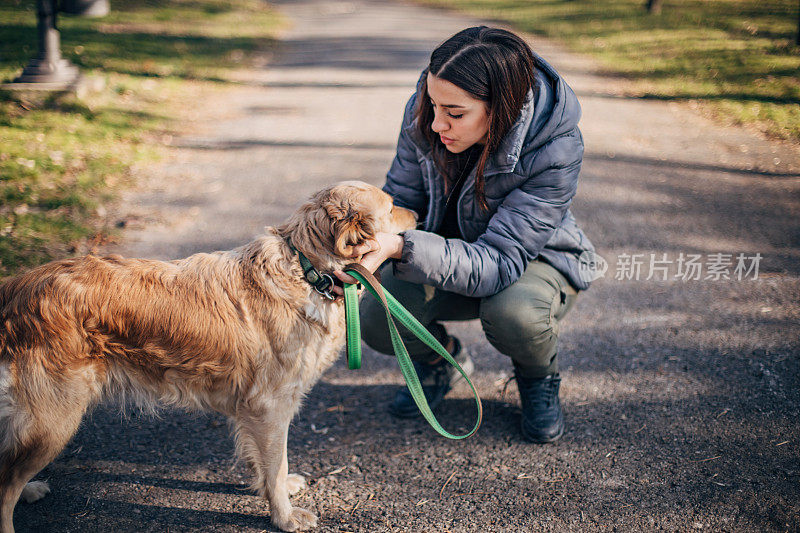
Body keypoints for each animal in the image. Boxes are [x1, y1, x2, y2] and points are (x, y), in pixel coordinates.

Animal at [0, 181, 416, 528]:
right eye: (392, 206)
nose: (417, 215)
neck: (305, 270)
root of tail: (18, 287)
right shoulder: (271, 406)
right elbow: (276, 464)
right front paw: (283, 516)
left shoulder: (255, 410)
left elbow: (266, 464)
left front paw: (270, 489)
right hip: (54, 417)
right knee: (6, 484)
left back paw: (31, 489)